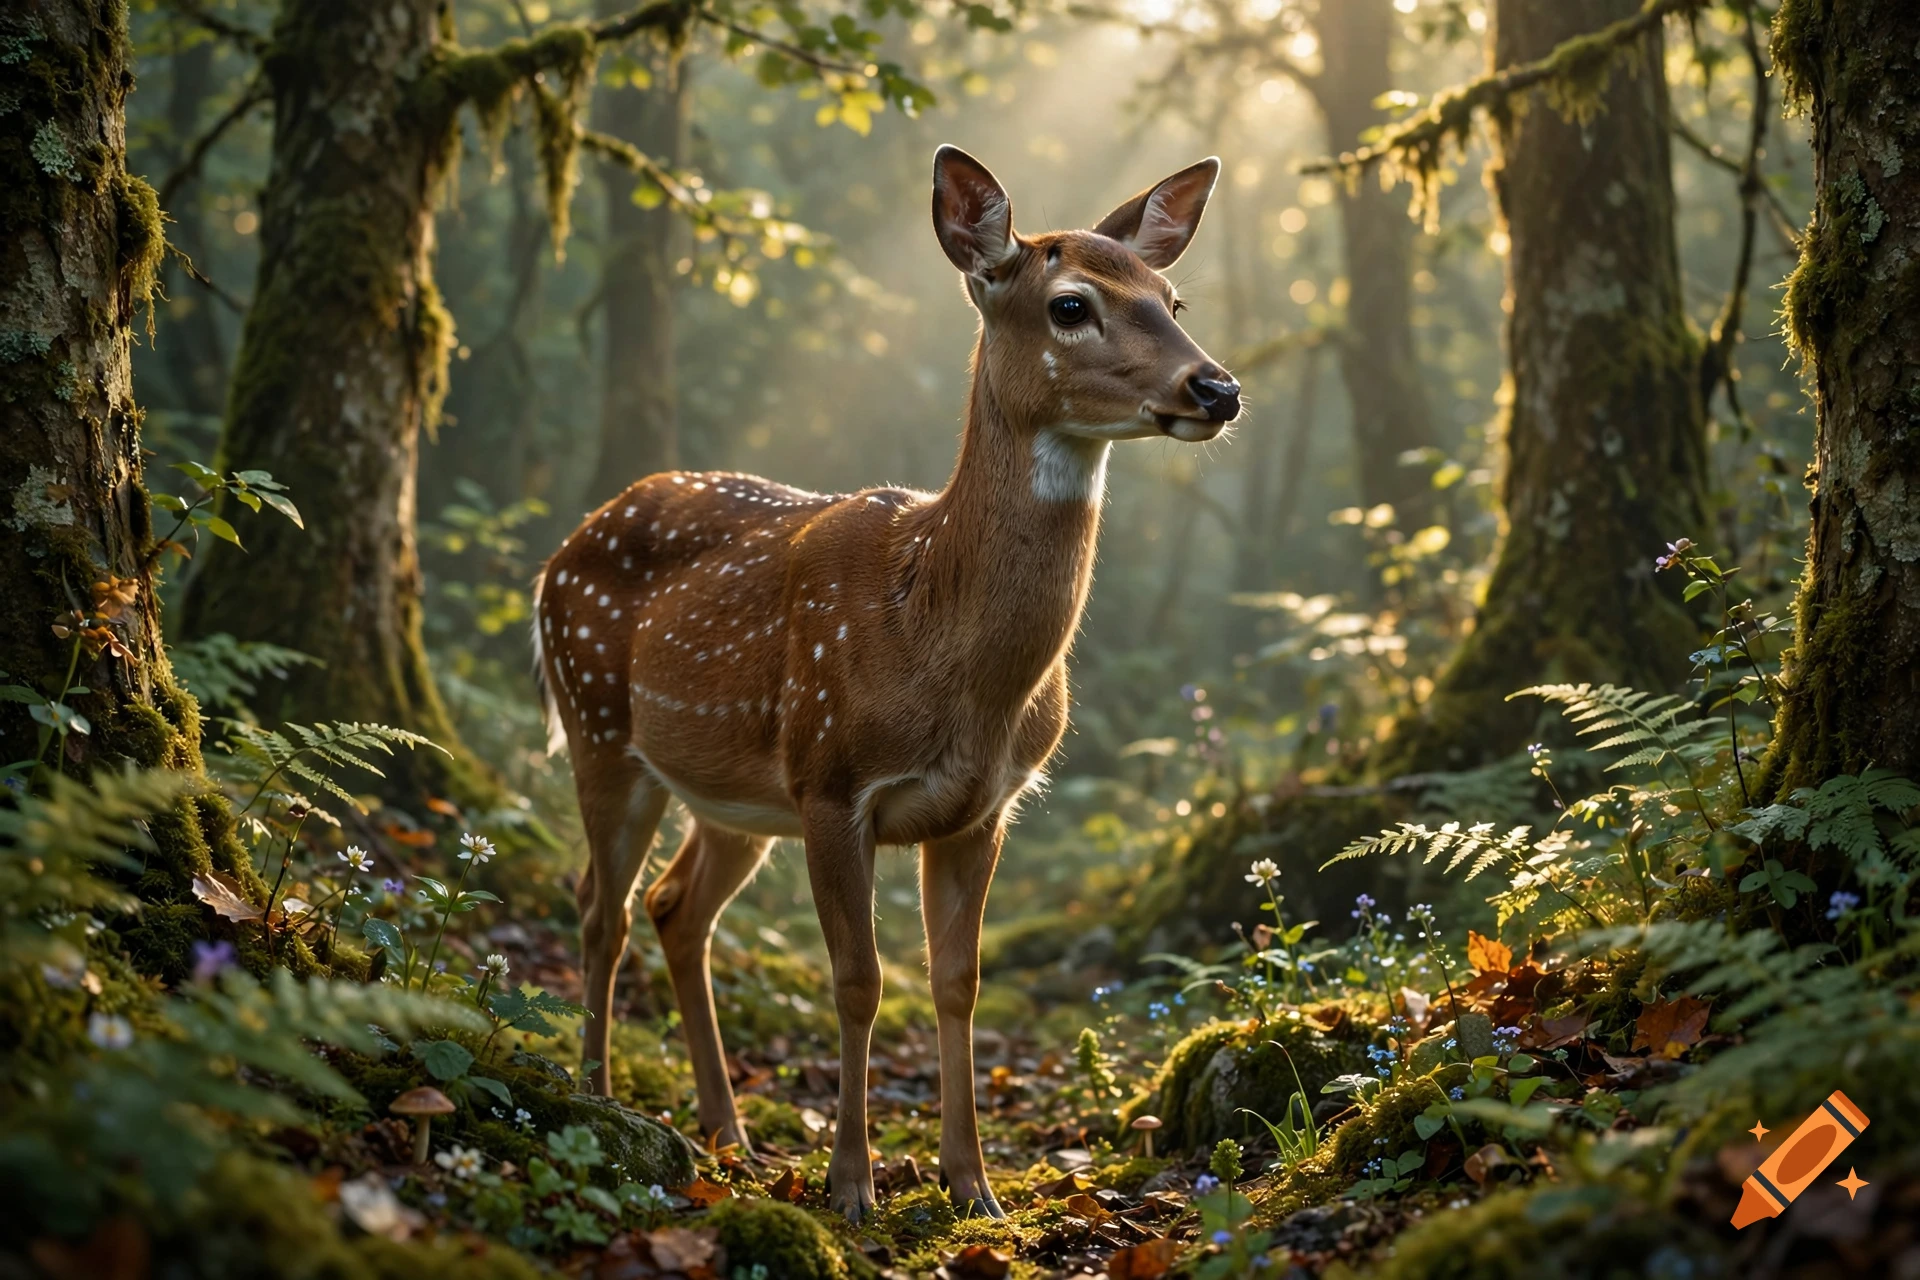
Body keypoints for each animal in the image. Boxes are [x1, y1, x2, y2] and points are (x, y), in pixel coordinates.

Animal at [533, 145, 1240, 1221]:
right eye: (1071, 305)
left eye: (1172, 297)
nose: (1217, 387)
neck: (945, 650)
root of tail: (558, 553)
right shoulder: (834, 778)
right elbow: (859, 979)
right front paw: (852, 1183)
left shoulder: (984, 806)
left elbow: (957, 980)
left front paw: (973, 1184)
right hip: (600, 722)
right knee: (596, 905)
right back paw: (599, 1094)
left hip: (736, 792)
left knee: (674, 906)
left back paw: (730, 1134)